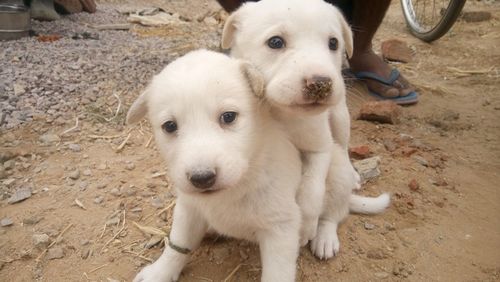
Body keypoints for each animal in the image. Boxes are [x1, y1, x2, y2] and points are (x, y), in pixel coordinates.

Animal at [127, 50, 302, 282]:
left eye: (228, 117)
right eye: (169, 126)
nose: (202, 178)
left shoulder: (281, 227)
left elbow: (277, 274)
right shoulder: (188, 208)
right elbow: (177, 245)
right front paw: (160, 272)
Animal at [223, 0, 390, 258]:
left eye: (333, 43)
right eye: (275, 42)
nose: (321, 83)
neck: (280, 113)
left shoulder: (319, 148)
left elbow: (312, 192)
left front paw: (306, 228)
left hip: (340, 118)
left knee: (337, 191)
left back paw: (326, 235)